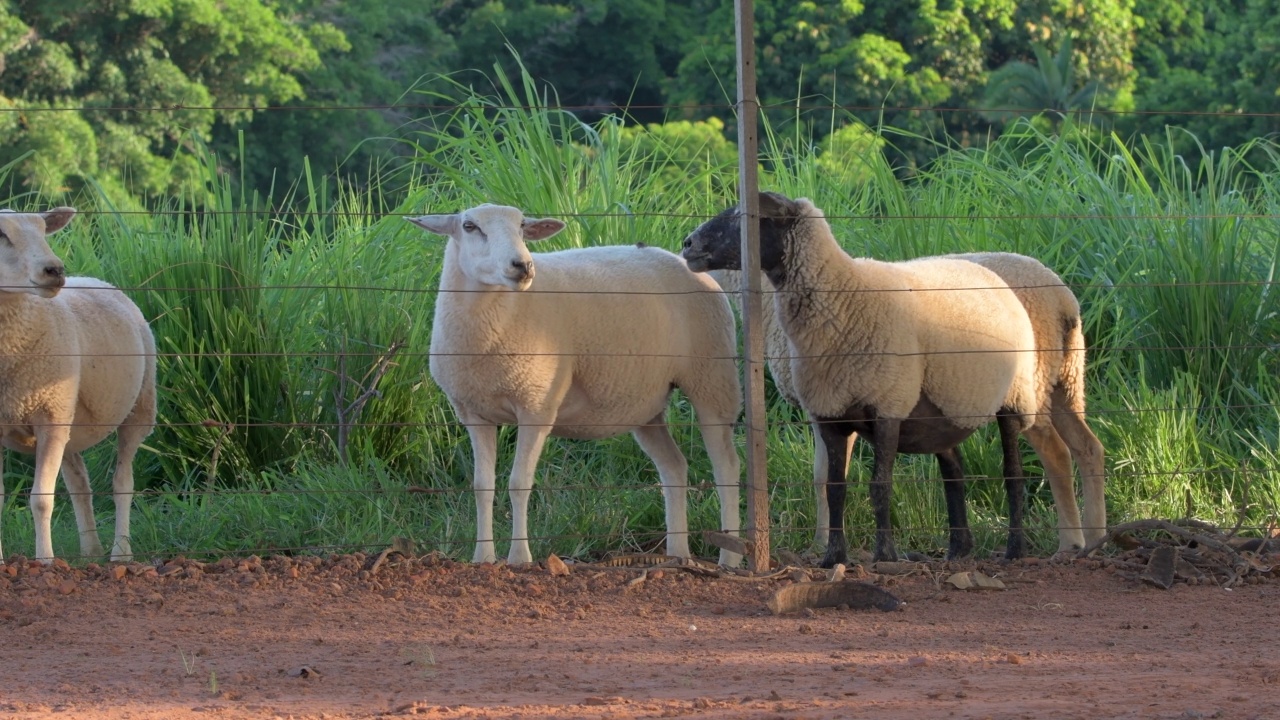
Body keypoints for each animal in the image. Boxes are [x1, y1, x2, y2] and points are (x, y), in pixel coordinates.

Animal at [0, 206, 158, 561]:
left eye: (44, 230)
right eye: (1, 234)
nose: (54, 270)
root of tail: (97, 279)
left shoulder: (49, 414)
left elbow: (41, 500)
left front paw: (45, 561)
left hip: (138, 408)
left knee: (122, 482)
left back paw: (120, 553)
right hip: (68, 416)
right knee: (79, 483)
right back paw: (90, 552)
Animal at [409, 202, 747, 566]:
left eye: (523, 226)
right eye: (469, 226)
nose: (522, 265)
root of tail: (685, 262)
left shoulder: (537, 404)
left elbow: (519, 483)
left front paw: (520, 557)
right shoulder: (474, 412)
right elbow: (482, 486)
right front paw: (483, 557)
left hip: (712, 377)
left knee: (726, 466)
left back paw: (730, 557)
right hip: (645, 403)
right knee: (674, 467)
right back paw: (677, 553)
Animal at [680, 192, 1039, 566]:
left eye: (747, 216)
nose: (688, 244)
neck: (846, 296)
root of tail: (982, 268)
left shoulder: (887, 405)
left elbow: (880, 486)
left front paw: (885, 555)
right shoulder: (830, 411)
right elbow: (834, 488)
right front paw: (833, 557)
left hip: (1014, 396)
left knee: (1013, 473)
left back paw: (1015, 549)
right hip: (945, 409)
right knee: (954, 472)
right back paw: (958, 549)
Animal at [716, 252, 1105, 556]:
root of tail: (1062, 299)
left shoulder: (837, 400)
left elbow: (824, 475)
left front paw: (822, 543)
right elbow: (823, 475)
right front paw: (824, 542)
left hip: (1031, 382)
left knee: (1056, 452)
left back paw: (1070, 543)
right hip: (1064, 376)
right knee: (1088, 447)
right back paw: (1095, 538)